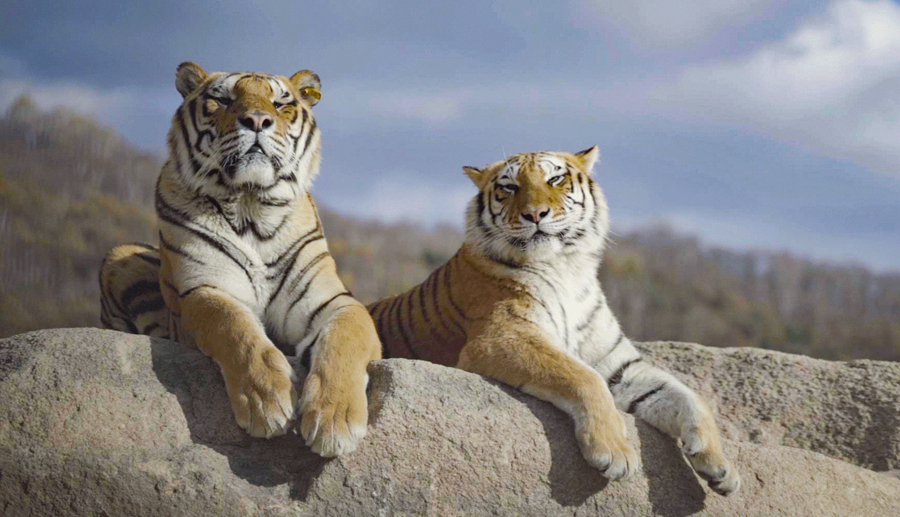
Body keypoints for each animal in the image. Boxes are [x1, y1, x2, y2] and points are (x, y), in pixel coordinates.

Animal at [98, 63, 380, 456]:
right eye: (222, 99)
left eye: (281, 103)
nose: (257, 120)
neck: (252, 207)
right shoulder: (205, 290)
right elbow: (235, 328)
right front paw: (268, 404)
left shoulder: (333, 301)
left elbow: (345, 340)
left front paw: (336, 420)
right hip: (120, 253)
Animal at [366, 147, 740, 494]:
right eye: (510, 187)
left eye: (555, 179)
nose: (535, 214)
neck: (567, 266)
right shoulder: (502, 337)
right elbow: (584, 377)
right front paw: (615, 452)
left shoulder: (620, 366)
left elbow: (688, 396)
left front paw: (721, 467)